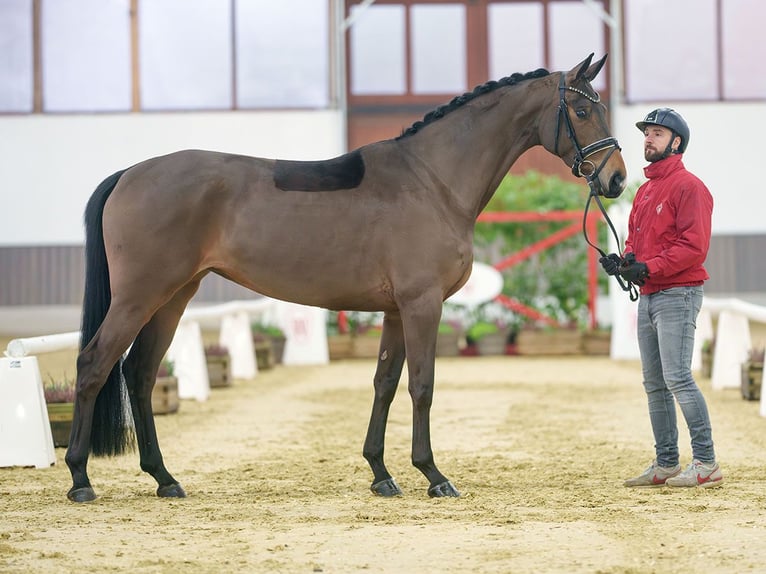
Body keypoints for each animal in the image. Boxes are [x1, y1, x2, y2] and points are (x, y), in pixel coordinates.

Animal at [66, 54, 628, 504]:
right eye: (582, 111)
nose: (617, 178)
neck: (432, 180)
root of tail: (129, 174)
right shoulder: (423, 304)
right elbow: (422, 384)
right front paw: (433, 474)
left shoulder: (397, 311)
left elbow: (384, 383)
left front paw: (381, 473)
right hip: (140, 296)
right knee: (95, 364)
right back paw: (80, 479)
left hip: (174, 296)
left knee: (140, 374)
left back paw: (164, 478)